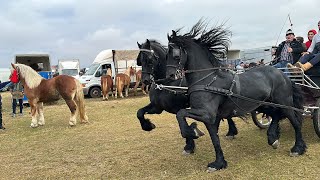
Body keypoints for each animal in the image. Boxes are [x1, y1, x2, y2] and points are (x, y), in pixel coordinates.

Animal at [166, 20, 306, 172]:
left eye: (175, 54)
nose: (170, 76)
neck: (207, 80)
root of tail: (282, 74)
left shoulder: (207, 114)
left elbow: (180, 113)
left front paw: (192, 132)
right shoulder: (211, 118)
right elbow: (214, 139)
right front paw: (218, 163)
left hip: (284, 103)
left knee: (295, 122)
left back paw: (298, 148)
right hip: (263, 104)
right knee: (276, 114)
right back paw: (272, 139)